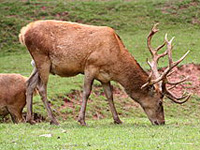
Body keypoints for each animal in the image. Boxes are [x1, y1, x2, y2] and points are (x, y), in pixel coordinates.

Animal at [18, 19, 190, 125]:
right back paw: (53, 120)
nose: (161, 122)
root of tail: (23, 33)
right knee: (41, 87)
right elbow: (86, 92)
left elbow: (109, 95)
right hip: (42, 58)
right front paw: (82, 120)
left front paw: (117, 119)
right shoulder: (90, 66)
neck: (115, 62)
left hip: (37, 63)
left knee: (29, 83)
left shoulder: (105, 76)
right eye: (160, 102)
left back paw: (30, 119)